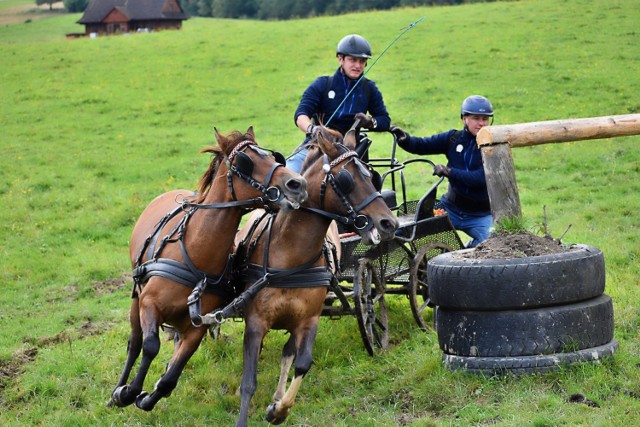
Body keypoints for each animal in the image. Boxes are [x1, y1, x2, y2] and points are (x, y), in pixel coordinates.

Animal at [107, 126, 308, 412]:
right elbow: (150, 345)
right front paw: (128, 392)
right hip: (137, 293)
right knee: (134, 343)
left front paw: (148, 396)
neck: (197, 254)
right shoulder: (149, 303)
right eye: (245, 161)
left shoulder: (198, 326)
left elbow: (171, 377)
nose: (297, 184)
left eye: (274, 158)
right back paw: (117, 391)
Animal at [230, 125, 400, 426]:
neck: (290, 259)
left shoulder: (308, 319)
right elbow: (249, 380)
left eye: (372, 175)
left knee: (288, 352)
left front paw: (279, 408)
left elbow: (302, 363)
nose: (390, 223)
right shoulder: (256, 321)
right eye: (346, 179)